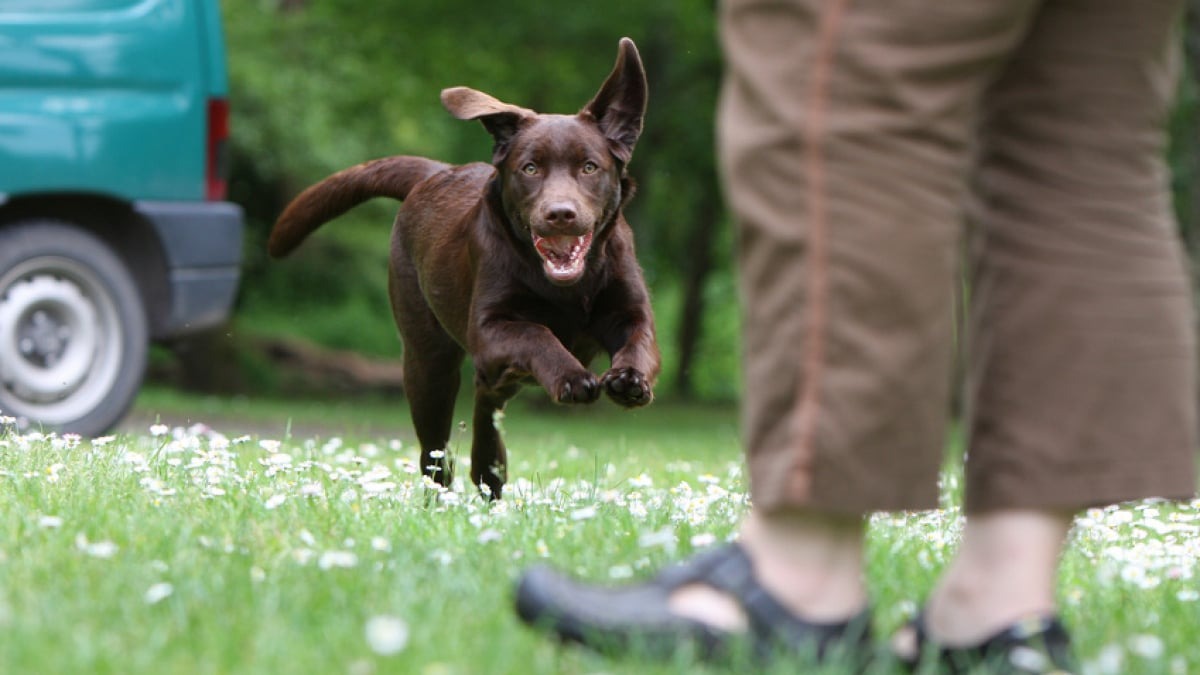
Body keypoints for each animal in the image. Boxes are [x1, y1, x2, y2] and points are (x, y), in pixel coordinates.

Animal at [267, 39, 662, 497]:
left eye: (589, 167)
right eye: (530, 168)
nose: (560, 214)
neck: (565, 287)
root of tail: (434, 173)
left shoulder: (629, 311)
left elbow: (639, 341)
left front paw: (630, 380)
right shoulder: (489, 329)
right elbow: (538, 333)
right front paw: (571, 376)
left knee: (487, 398)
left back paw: (489, 467)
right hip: (427, 362)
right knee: (437, 448)